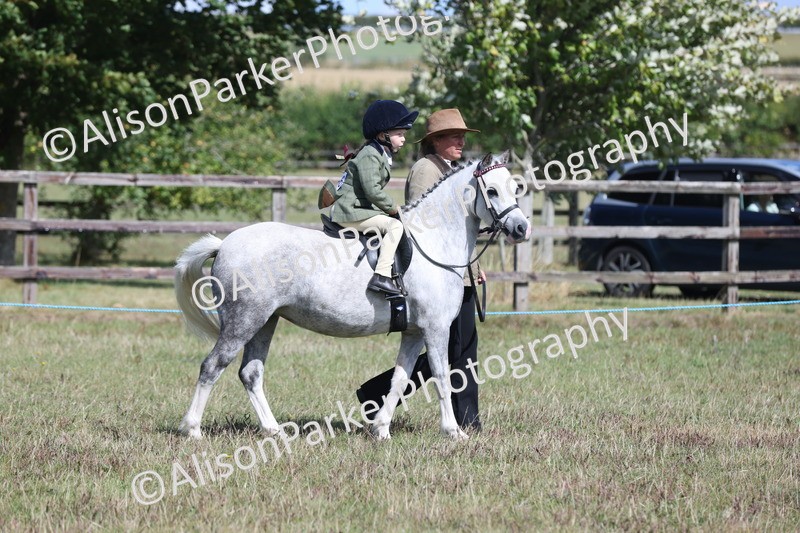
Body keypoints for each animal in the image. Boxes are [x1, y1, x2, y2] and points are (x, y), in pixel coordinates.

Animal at [174, 151, 531, 440]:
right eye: (492, 191)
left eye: (515, 189)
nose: (521, 229)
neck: (433, 242)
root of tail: (225, 244)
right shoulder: (435, 328)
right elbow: (444, 375)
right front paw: (454, 431)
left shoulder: (414, 332)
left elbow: (400, 378)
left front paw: (381, 429)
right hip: (243, 321)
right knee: (212, 366)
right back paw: (192, 429)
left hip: (265, 321)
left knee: (250, 373)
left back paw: (274, 430)